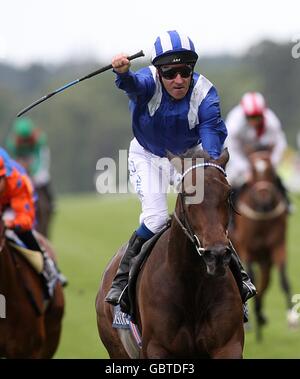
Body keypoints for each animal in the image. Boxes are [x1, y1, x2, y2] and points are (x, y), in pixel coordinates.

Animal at [96, 148, 244, 360]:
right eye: (187, 194)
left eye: (229, 192)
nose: (216, 255)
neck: (191, 285)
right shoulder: (156, 348)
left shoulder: (228, 345)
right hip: (116, 347)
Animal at [231, 148, 296, 338]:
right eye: (252, 171)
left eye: (271, 171)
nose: (265, 201)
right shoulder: (247, 250)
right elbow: (250, 275)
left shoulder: (278, 246)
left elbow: (283, 279)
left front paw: (291, 317)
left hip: (265, 259)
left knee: (265, 282)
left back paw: (260, 316)